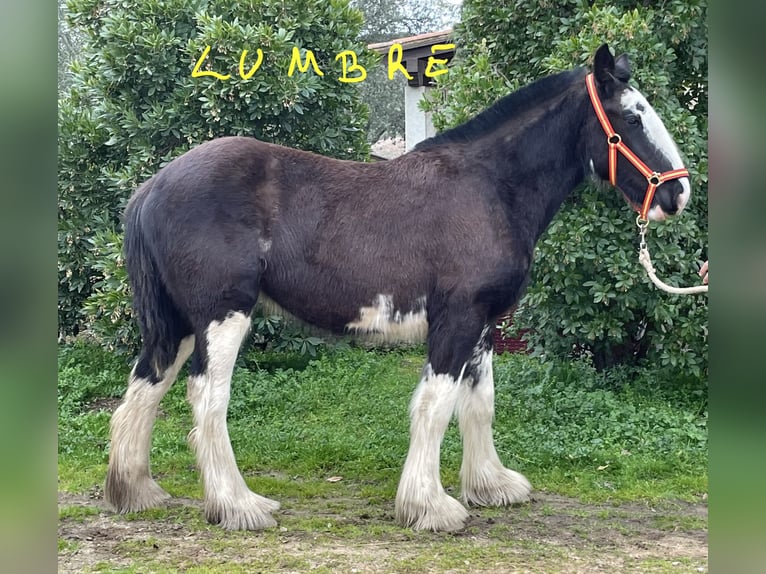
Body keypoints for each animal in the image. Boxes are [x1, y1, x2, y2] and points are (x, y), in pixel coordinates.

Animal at [105, 44, 691, 532]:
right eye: (631, 116)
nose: (678, 193)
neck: (489, 187)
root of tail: (152, 187)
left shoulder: (482, 325)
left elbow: (478, 403)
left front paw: (490, 485)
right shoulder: (457, 320)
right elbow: (435, 406)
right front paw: (429, 507)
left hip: (178, 324)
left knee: (146, 385)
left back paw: (136, 492)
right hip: (222, 315)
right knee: (208, 397)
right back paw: (239, 506)